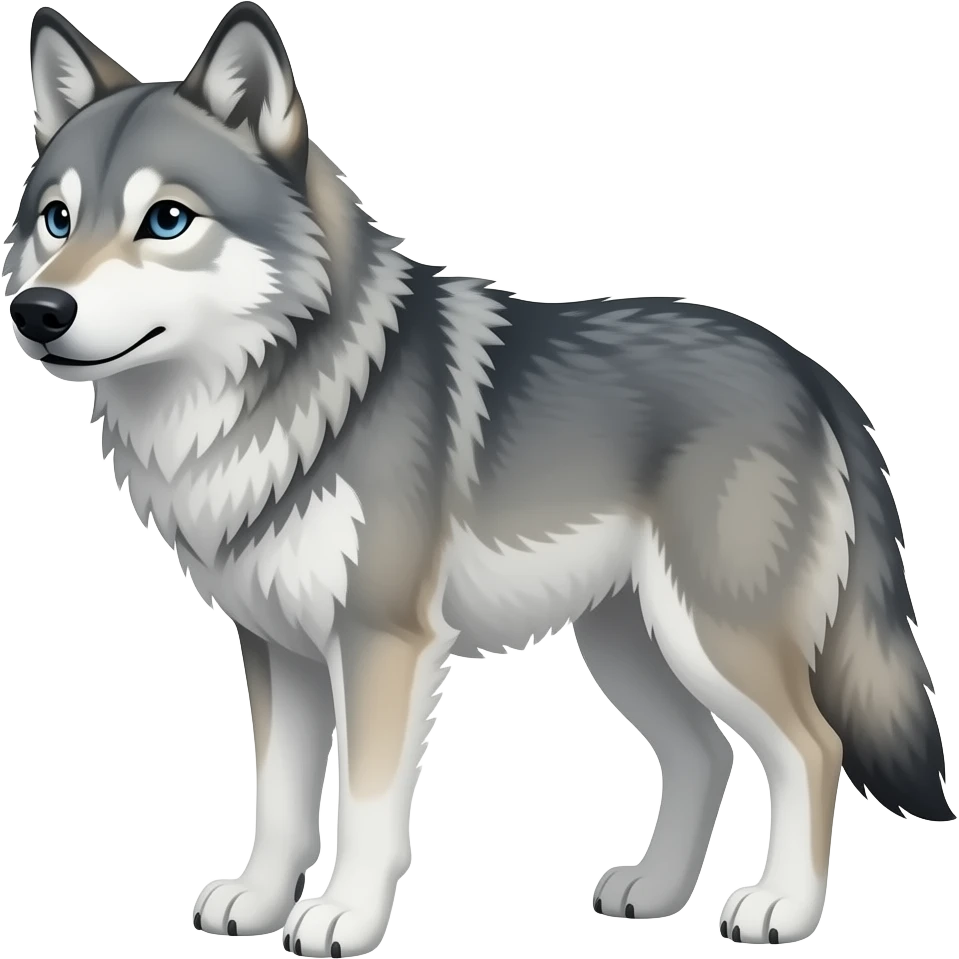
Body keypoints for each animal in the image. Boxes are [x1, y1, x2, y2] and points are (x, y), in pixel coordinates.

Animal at [4, 2, 953, 955]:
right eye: (56, 218)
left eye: (166, 220)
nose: (37, 311)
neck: (272, 401)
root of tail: (809, 370)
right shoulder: (278, 649)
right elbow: (277, 801)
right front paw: (260, 902)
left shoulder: (382, 642)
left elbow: (367, 804)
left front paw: (345, 916)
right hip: (628, 644)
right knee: (704, 751)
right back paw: (653, 889)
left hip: (712, 635)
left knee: (811, 747)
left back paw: (781, 905)